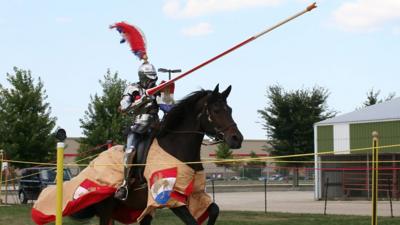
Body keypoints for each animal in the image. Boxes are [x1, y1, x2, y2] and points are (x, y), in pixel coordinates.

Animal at [72, 84, 244, 225]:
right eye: (216, 110)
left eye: (229, 110)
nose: (237, 138)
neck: (176, 147)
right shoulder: (171, 198)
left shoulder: (195, 193)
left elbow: (214, 210)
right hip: (106, 208)